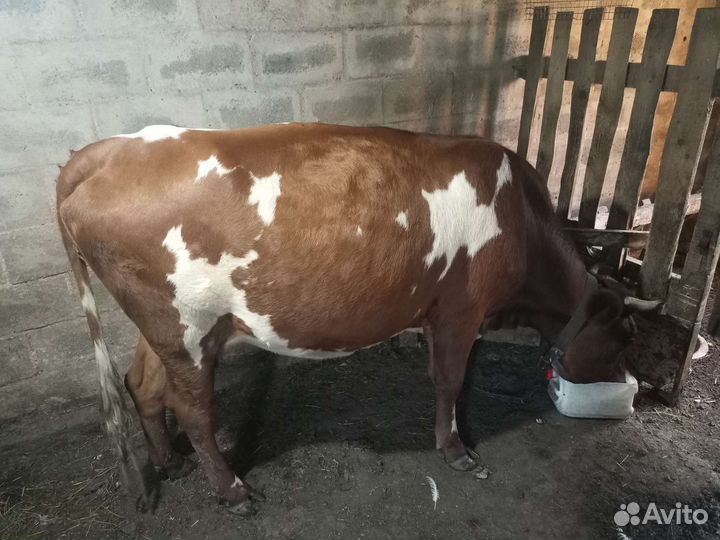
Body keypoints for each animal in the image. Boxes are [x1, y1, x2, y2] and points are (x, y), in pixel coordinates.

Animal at [56, 123, 656, 515]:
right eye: (626, 336)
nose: (630, 385)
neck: (522, 222)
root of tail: (106, 153)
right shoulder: (461, 308)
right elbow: (448, 380)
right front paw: (455, 450)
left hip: (162, 325)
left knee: (141, 384)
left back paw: (170, 461)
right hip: (187, 324)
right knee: (194, 410)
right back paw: (232, 492)